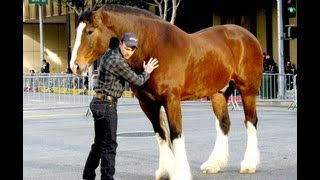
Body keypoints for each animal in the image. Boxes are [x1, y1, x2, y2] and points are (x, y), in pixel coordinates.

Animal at [70, 4, 262, 180]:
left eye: (90, 31)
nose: (75, 66)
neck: (155, 48)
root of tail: (248, 36)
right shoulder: (147, 102)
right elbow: (161, 134)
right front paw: (165, 172)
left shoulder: (171, 100)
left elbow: (176, 134)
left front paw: (181, 174)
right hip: (218, 93)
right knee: (224, 124)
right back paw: (213, 164)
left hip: (247, 90)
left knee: (250, 121)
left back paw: (249, 164)